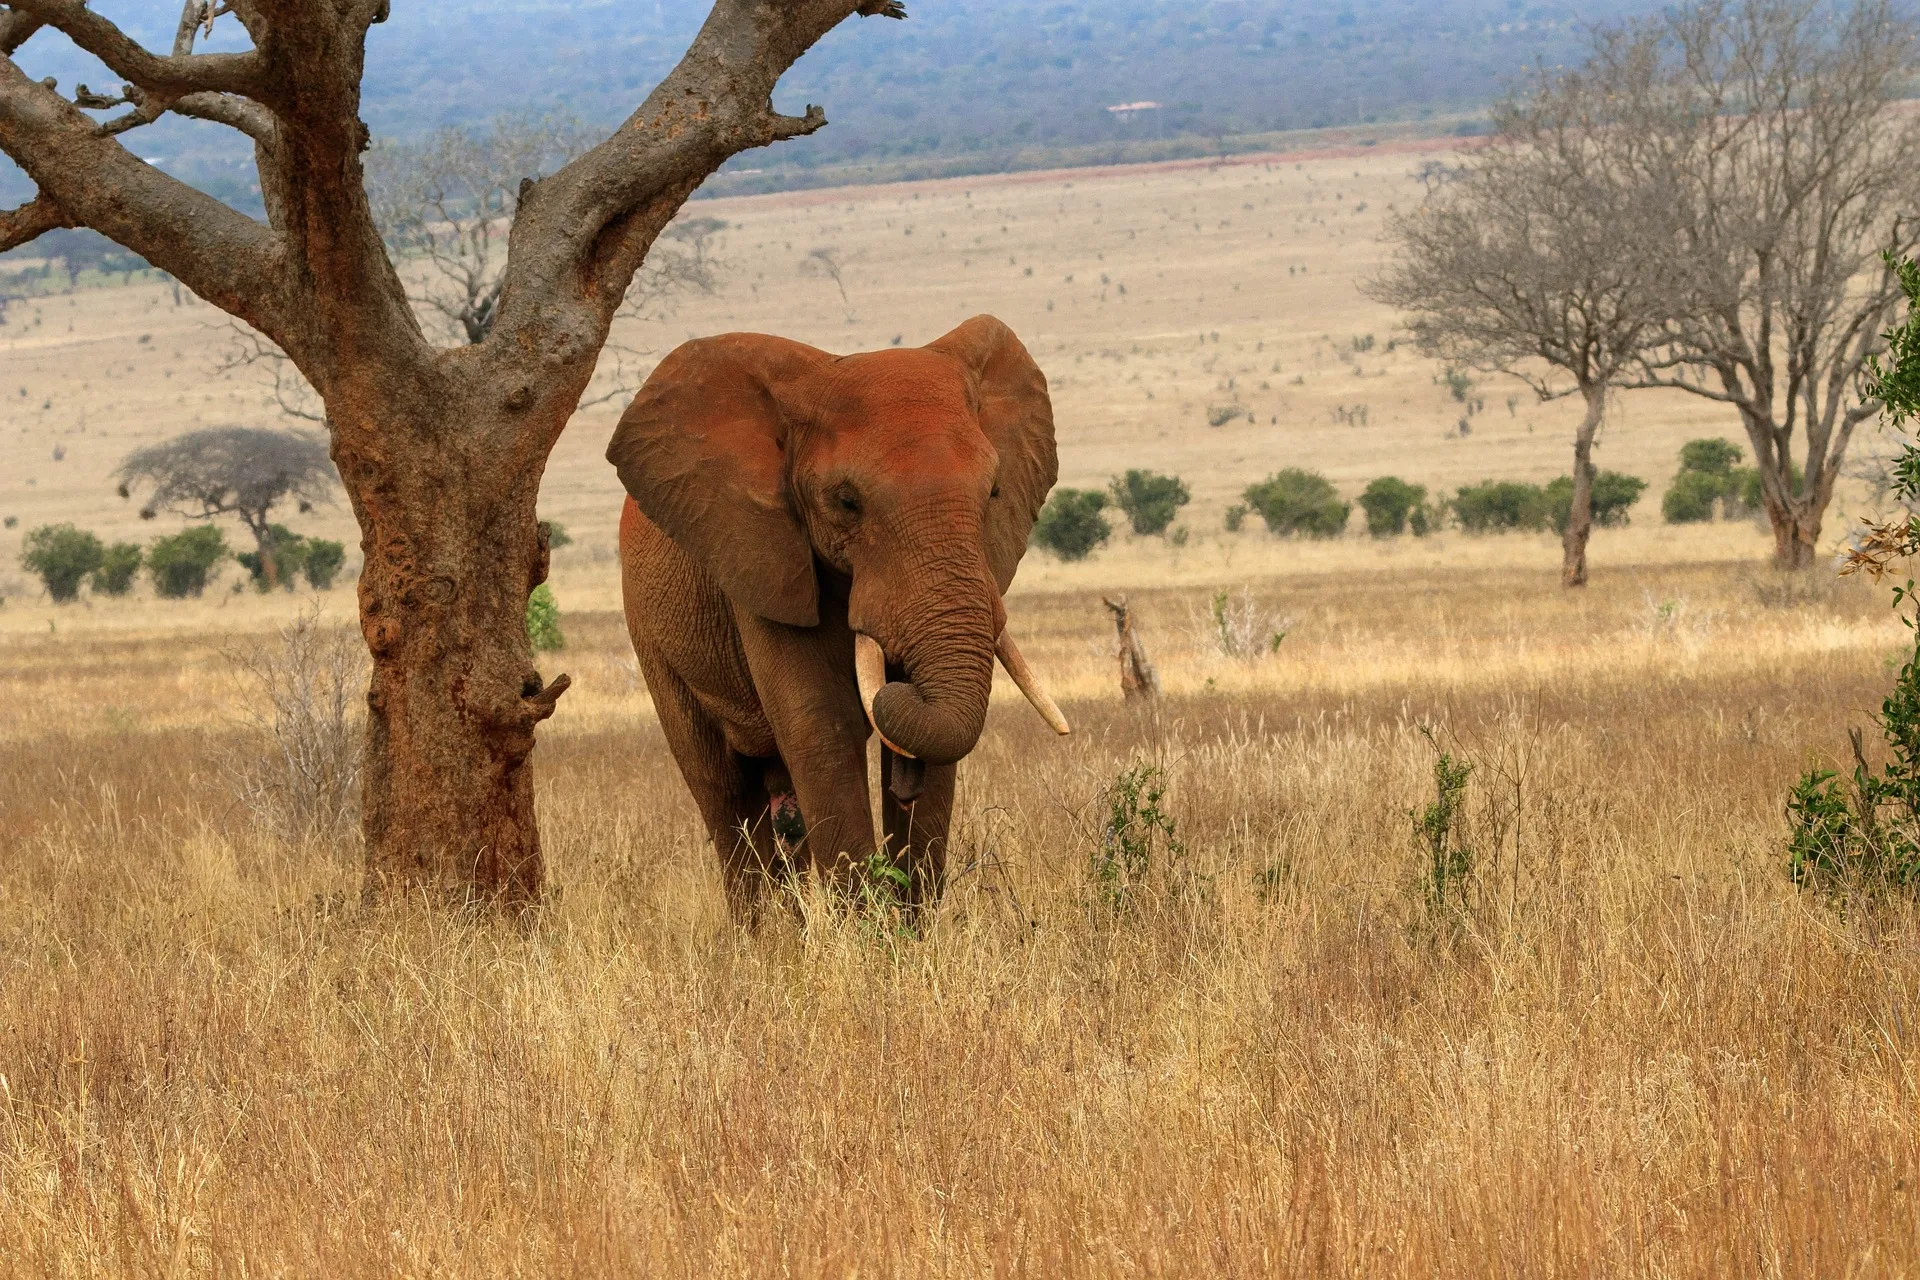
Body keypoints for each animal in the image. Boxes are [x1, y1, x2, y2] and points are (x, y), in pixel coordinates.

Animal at [606, 310, 1075, 917]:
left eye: (993, 492)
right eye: (847, 502)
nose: (898, 680)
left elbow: (941, 748)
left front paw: (913, 928)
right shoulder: (764, 558)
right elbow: (823, 724)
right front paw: (866, 934)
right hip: (650, 631)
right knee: (722, 791)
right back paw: (761, 935)